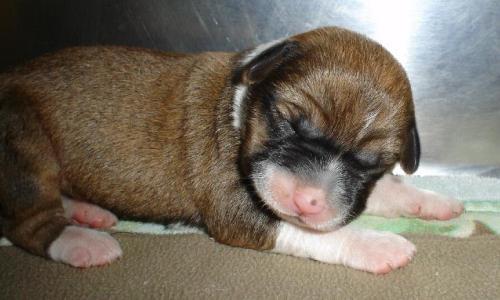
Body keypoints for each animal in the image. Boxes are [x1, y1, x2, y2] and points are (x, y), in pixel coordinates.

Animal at [0, 27, 464, 274]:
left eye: (368, 163)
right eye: (287, 121)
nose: (307, 201)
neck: (242, 107)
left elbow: (385, 190)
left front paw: (433, 202)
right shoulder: (237, 211)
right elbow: (320, 233)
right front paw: (381, 245)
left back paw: (86, 212)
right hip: (24, 139)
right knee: (29, 222)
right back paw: (83, 240)